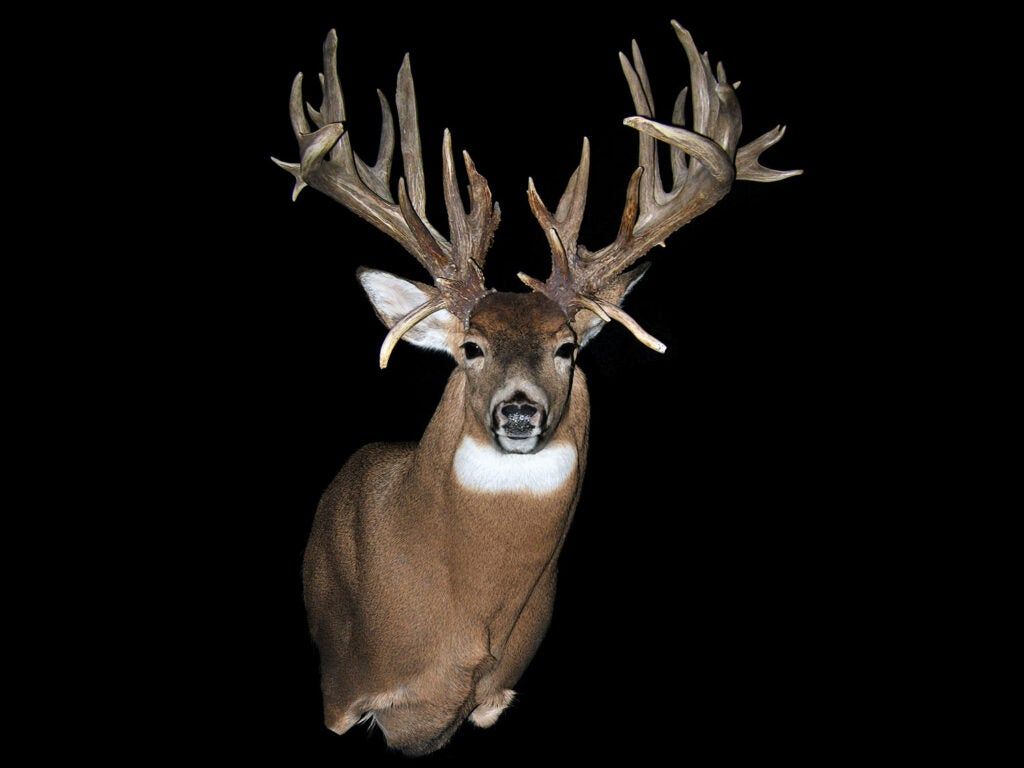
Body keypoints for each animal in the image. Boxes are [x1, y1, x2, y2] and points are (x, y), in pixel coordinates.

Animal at [273, 20, 799, 756]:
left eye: (567, 348)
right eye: (470, 347)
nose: (519, 411)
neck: (458, 632)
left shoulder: (493, 699)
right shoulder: (343, 690)